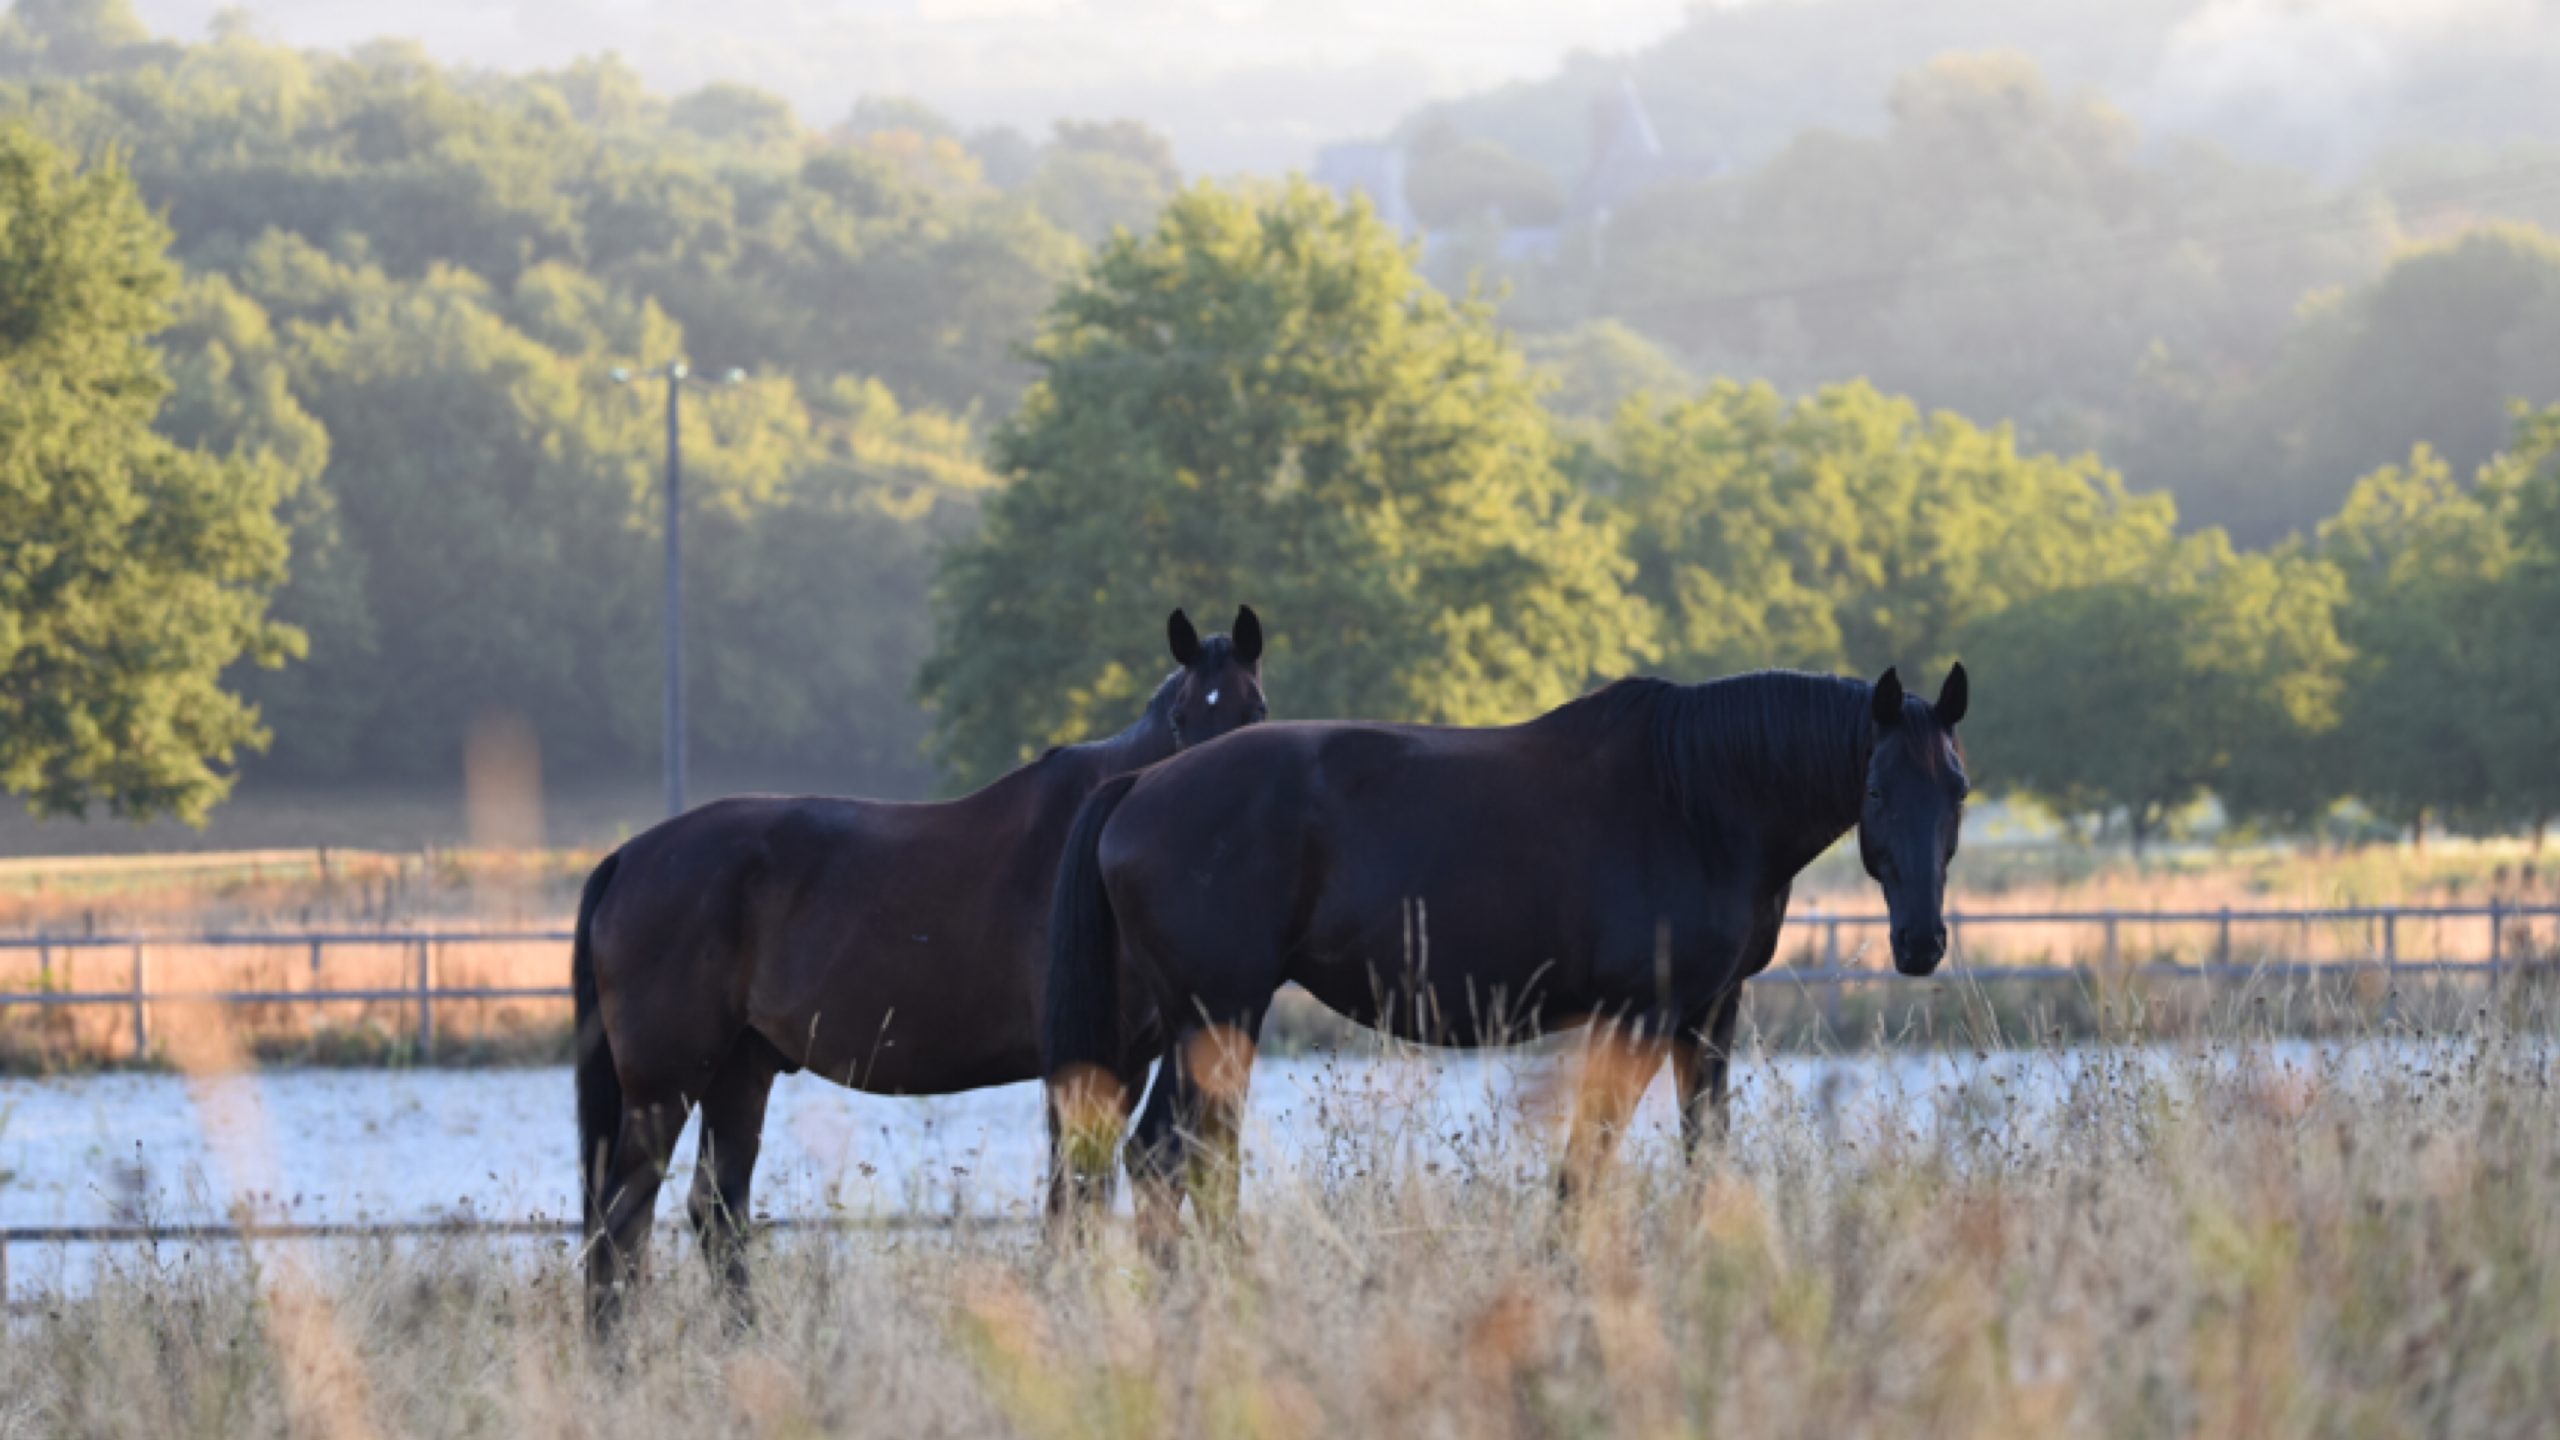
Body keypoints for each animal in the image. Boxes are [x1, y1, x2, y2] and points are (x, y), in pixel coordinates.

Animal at [576, 606, 1267, 1325]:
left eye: (1256, 710)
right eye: (1182, 718)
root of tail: (627, 857)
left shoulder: (1124, 1063)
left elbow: (1088, 1193)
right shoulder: (1080, 1060)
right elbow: (1068, 1195)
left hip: (739, 1072)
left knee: (713, 1210)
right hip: (665, 1081)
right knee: (623, 1215)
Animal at [1043, 664, 1968, 1239]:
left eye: (1958, 788)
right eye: (1875, 788)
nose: (1921, 941)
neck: (1700, 800)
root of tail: (1138, 786)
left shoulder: (1709, 1014)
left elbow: (1703, 1156)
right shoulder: (1637, 1016)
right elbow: (1580, 1173)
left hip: (1204, 1021)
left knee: (1170, 1160)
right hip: (1217, 1013)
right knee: (1170, 1159)